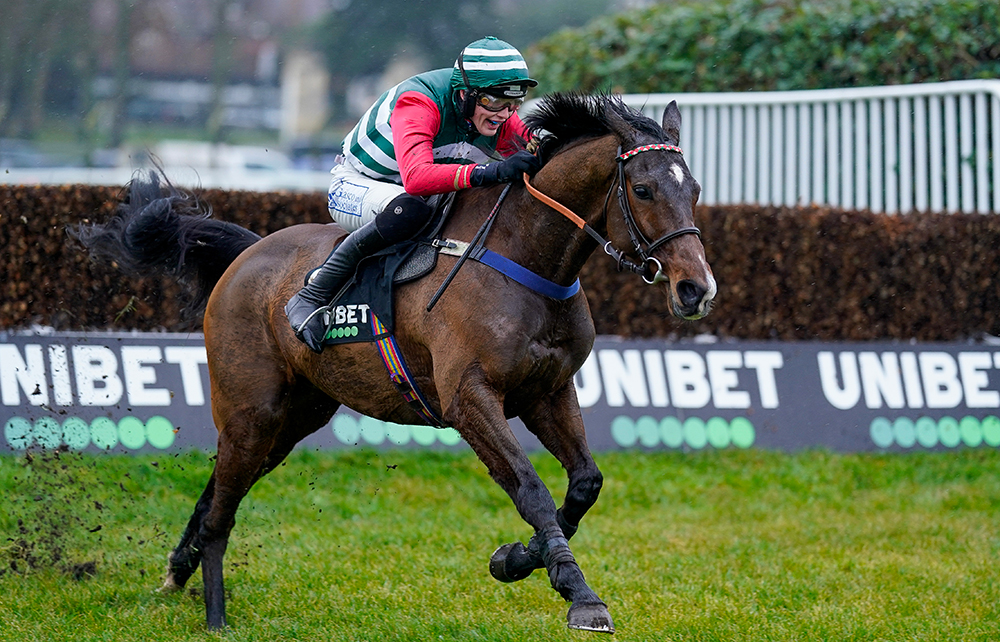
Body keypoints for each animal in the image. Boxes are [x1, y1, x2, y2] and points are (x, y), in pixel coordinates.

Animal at [71, 93, 716, 633]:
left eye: (694, 190)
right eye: (643, 190)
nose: (695, 290)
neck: (525, 259)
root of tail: (247, 255)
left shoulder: (548, 392)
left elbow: (584, 484)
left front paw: (514, 559)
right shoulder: (469, 398)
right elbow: (530, 488)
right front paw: (579, 594)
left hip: (293, 417)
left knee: (220, 486)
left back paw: (177, 572)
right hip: (252, 406)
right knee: (222, 507)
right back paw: (215, 614)